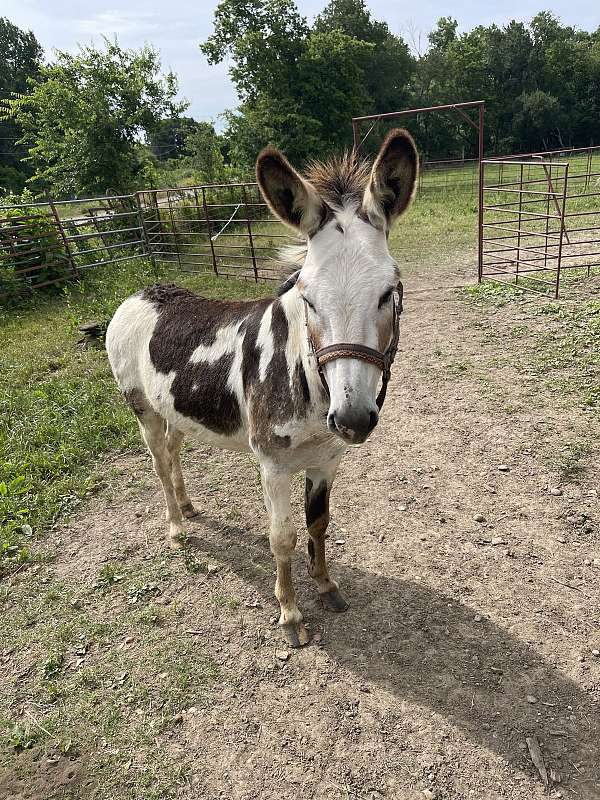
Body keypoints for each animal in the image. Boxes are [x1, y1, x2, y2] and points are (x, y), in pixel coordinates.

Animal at [106, 129, 419, 646]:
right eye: (307, 298)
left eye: (388, 293)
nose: (352, 419)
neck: (310, 384)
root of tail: (140, 293)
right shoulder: (272, 465)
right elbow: (282, 537)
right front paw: (290, 614)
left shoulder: (327, 458)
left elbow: (319, 524)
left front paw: (326, 586)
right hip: (142, 409)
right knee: (157, 462)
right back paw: (175, 527)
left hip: (174, 409)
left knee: (172, 450)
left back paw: (187, 506)